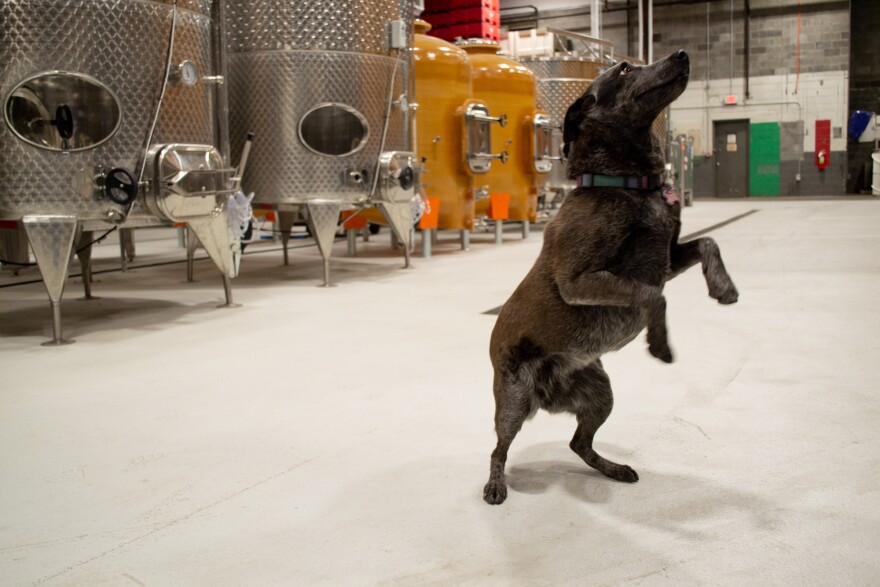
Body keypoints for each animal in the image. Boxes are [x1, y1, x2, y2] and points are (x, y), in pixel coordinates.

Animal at [484, 50, 740, 506]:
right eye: (623, 69)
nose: (681, 54)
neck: (627, 184)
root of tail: (547, 397)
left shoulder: (667, 258)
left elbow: (708, 242)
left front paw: (723, 287)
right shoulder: (579, 280)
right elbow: (653, 297)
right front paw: (659, 343)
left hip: (600, 392)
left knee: (578, 444)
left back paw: (613, 468)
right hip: (513, 402)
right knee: (498, 449)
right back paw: (496, 485)